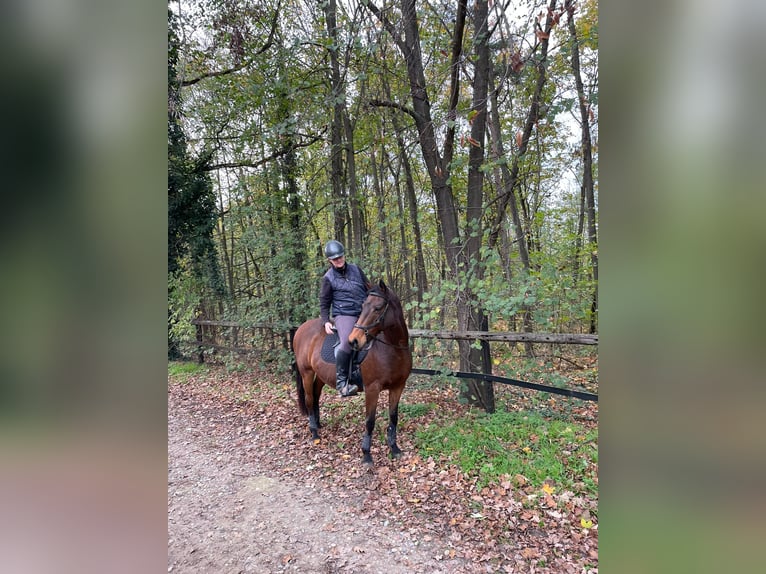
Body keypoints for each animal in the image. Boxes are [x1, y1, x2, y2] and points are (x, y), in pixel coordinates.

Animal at [294, 282, 414, 466]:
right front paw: (366, 455)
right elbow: (370, 421)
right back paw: (314, 433)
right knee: (308, 399)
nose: (354, 340)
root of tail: (301, 328)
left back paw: (318, 425)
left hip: (320, 375)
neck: (393, 349)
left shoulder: (398, 386)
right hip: (306, 372)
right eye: (363, 306)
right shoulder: (372, 389)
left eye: (378, 308)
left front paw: (394, 448)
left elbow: (393, 417)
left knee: (315, 395)